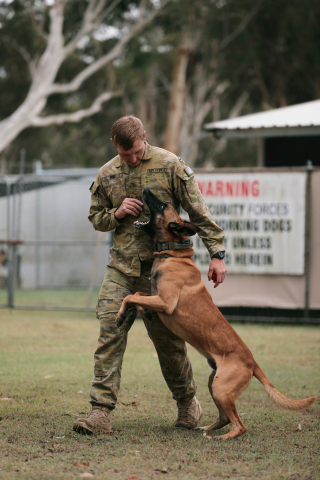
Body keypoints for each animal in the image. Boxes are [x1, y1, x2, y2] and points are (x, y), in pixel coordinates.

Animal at [116, 188, 316, 438]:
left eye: (162, 206)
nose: (145, 190)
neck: (172, 254)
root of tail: (252, 362)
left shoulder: (165, 302)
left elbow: (130, 296)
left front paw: (121, 315)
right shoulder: (156, 297)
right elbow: (138, 295)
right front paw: (141, 312)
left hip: (221, 387)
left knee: (239, 424)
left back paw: (223, 437)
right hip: (214, 383)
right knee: (225, 417)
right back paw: (206, 429)